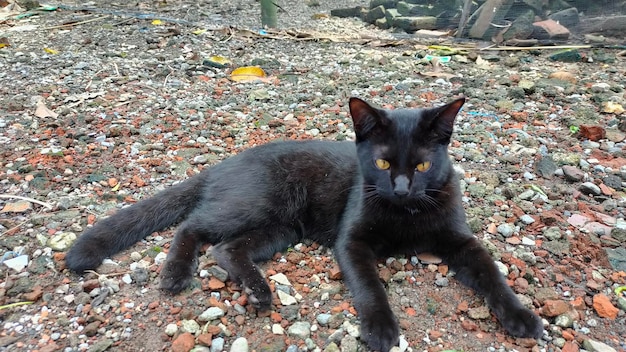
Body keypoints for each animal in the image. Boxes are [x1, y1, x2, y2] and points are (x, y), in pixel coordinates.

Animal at [66, 95, 540, 350]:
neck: (407, 214)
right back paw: (176, 274)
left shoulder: (462, 242)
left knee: (226, 248)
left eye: (422, 166)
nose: (402, 188)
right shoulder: (352, 242)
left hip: (281, 228)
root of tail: (226, 163)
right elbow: (370, 286)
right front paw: (382, 328)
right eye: (383, 163)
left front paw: (523, 317)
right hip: (257, 205)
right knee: (194, 227)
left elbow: (492, 274)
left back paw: (258, 291)